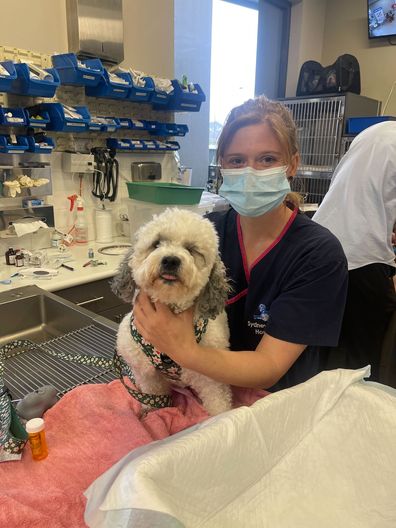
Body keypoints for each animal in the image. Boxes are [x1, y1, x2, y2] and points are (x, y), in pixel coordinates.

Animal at [110, 207, 232, 416]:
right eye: (156, 243)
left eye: (191, 249)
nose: (171, 260)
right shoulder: (147, 376)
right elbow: (154, 398)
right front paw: (151, 412)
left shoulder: (211, 380)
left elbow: (219, 405)